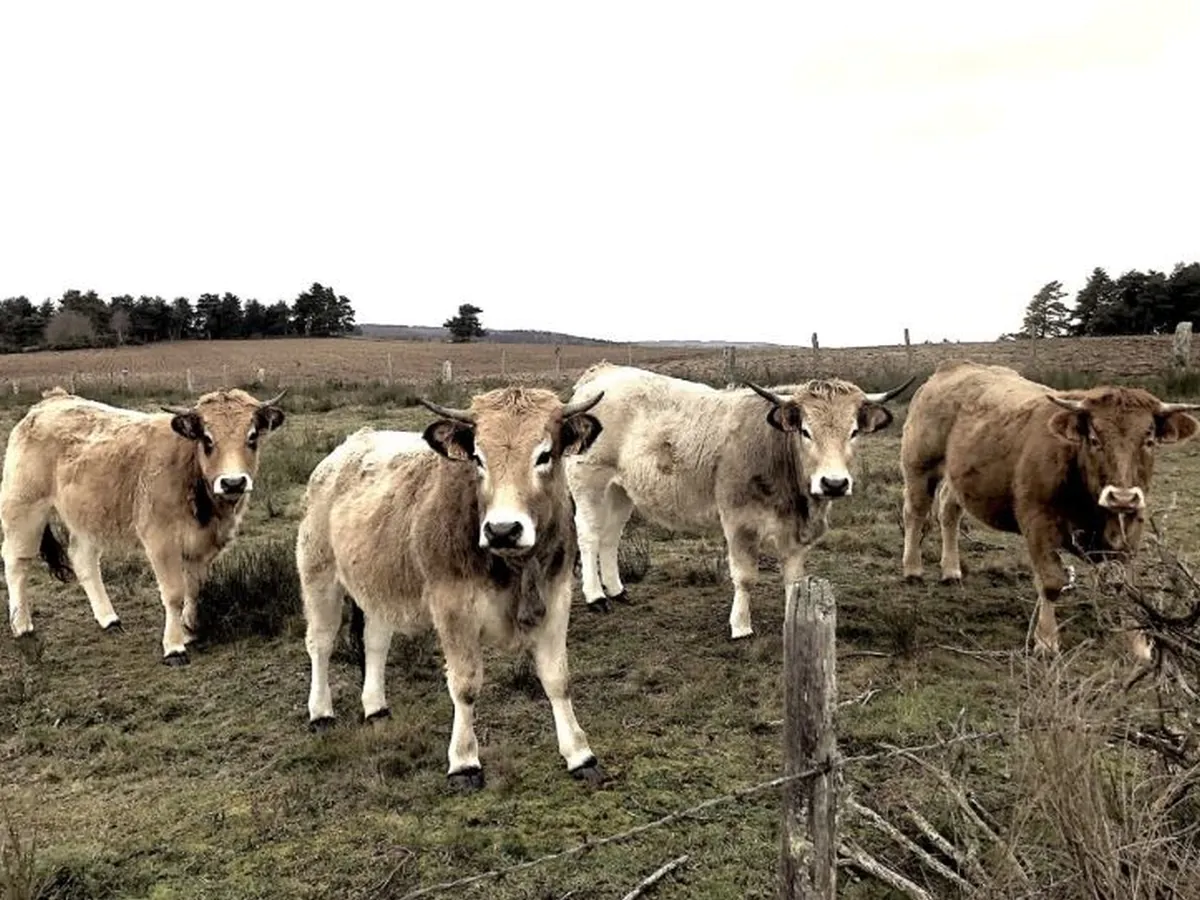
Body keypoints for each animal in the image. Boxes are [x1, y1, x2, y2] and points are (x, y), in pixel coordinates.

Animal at [1, 384, 286, 667]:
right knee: (17, 562)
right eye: (207, 439)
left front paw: (190, 630)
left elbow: (194, 589)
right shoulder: (161, 542)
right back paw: (22, 626)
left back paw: (109, 619)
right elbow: (174, 593)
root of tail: (52, 400)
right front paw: (174, 646)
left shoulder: (201, 546)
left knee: (83, 561)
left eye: (252, 437)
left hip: (87, 519)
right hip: (24, 509)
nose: (233, 482)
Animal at [296, 384, 604, 792]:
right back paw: (321, 712)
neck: (513, 567)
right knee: (321, 643)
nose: (503, 530)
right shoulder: (453, 609)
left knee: (375, 642)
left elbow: (557, 679)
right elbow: (465, 685)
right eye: (478, 457)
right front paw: (464, 762)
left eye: (544, 455)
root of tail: (344, 450)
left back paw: (376, 707)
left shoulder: (555, 599)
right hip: (319, 576)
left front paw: (579, 754)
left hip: (380, 587)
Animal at [561, 364, 907, 643]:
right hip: (589, 483)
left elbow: (793, 578)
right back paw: (596, 597)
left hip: (621, 491)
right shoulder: (740, 522)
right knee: (590, 536)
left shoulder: (794, 532)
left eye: (854, 432)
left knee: (610, 537)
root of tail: (603, 373)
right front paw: (740, 626)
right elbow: (745, 577)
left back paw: (617, 590)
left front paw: (792, 618)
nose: (834, 483)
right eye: (806, 431)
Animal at [902, 360, 1200, 657]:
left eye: (1149, 440)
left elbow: (1125, 586)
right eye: (1094, 439)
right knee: (915, 513)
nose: (1122, 497)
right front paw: (1046, 641)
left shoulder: (1130, 529)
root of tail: (954, 366)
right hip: (919, 468)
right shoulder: (1038, 523)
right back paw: (913, 567)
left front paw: (1137, 645)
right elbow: (1051, 582)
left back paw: (951, 569)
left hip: (958, 477)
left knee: (948, 511)